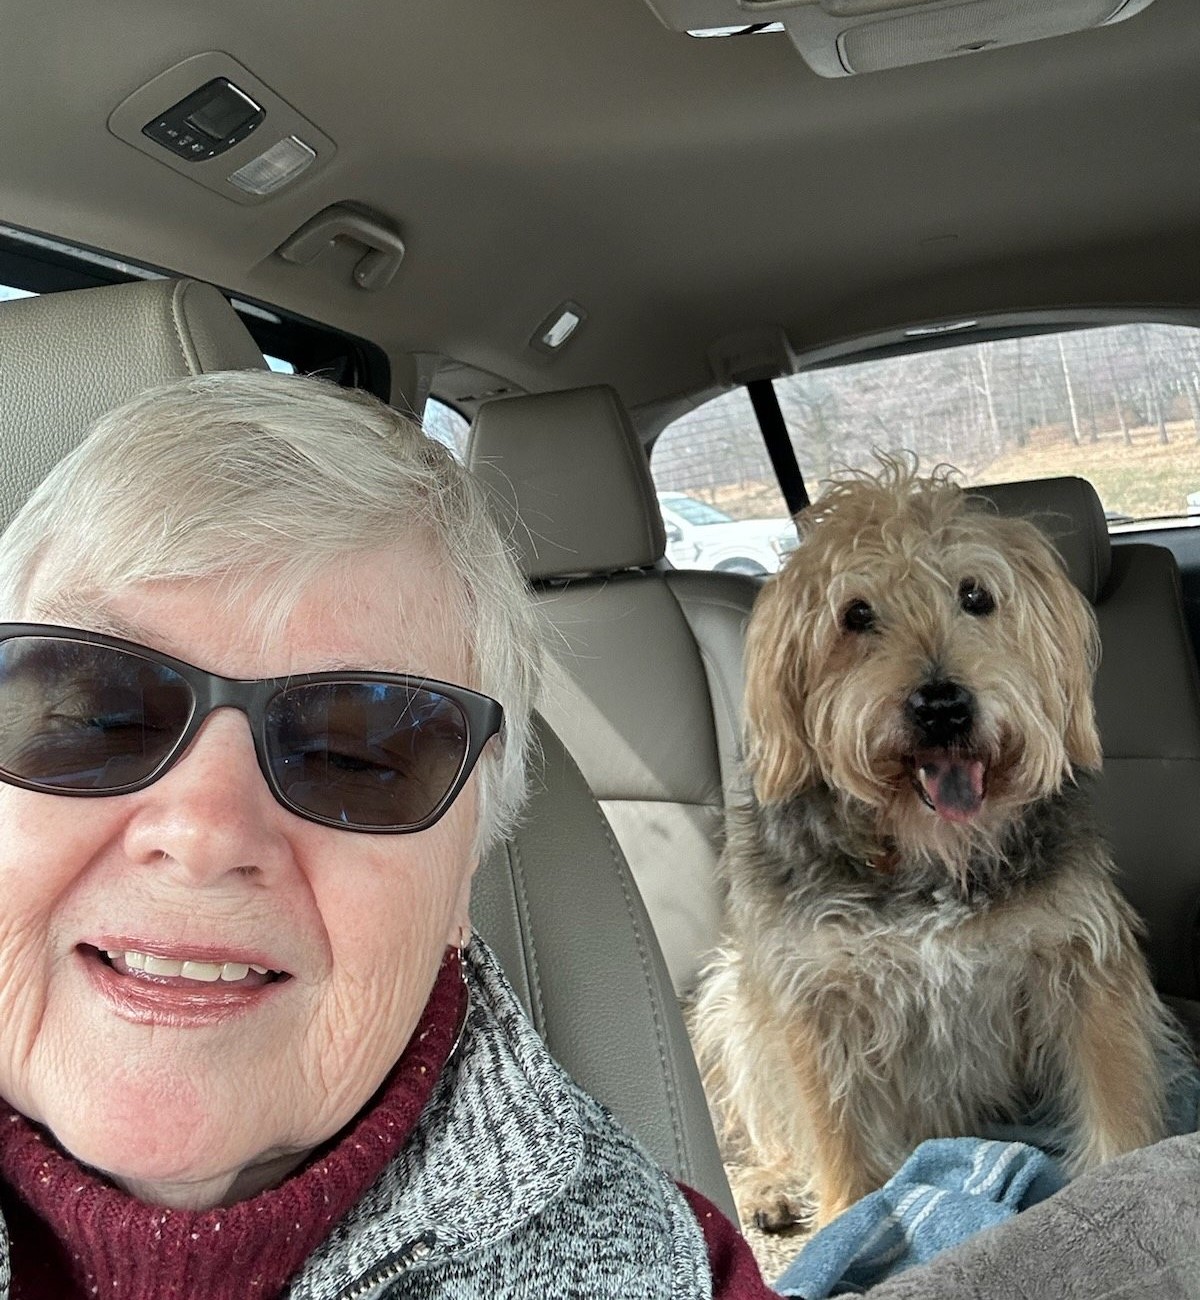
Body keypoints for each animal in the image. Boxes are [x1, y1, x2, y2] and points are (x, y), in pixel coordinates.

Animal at [691, 461, 1181, 1232]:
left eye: (975, 596)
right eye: (856, 614)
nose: (942, 705)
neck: (929, 861)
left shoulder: (1081, 960)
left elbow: (1113, 1088)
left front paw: (1126, 1174)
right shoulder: (813, 1000)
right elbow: (833, 1127)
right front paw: (845, 1216)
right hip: (727, 1001)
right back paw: (768, 1185)